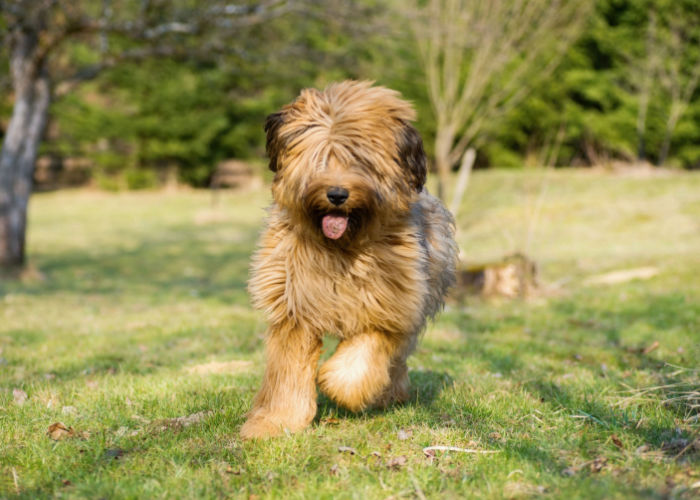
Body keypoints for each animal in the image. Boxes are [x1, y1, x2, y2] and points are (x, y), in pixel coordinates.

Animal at [241, 79, 460, 438]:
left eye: (360, 161)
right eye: (320, 159)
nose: (337, 195)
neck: (340, 249)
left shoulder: (390, 305)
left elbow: (363, 355)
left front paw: (337, 383)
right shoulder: (293, 307)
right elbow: (287, 370)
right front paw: (275, 422)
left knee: (395, 359)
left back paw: (387, 393)